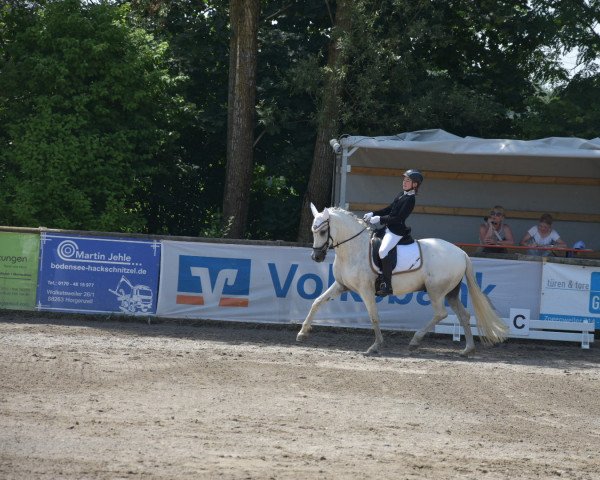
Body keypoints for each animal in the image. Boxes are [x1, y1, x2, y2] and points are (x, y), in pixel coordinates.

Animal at [296, 203, 506, 356]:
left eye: (322, 232)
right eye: (313, 231)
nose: (316, 257)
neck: (353, 248)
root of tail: (461, 253)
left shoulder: (365, 290)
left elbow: (374, 316)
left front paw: (375, 346)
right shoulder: (341, 285)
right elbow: (317, 301)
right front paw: (302, 333)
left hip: (436, 290)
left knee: (441, 314)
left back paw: (415, 341)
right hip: (451, 293)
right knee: (464, 315)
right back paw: (467, 350)